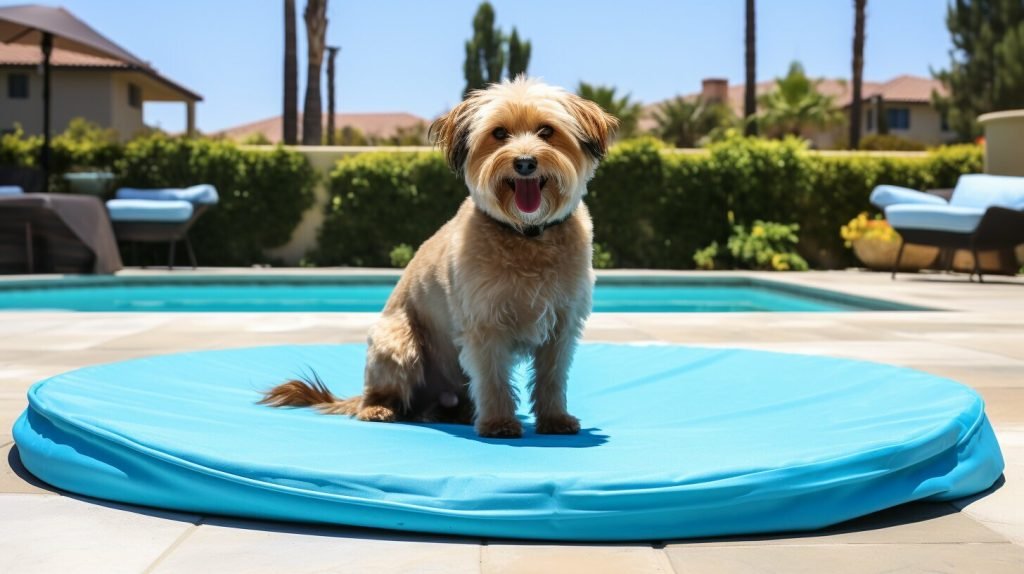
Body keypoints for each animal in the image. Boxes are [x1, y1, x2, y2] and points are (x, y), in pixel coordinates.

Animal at [262, 77, 614, 437]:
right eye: (499, 133)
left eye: (546, 131)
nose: (525, 162)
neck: (526, 234)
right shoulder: (484, 325)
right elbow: (493, 380)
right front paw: (499, 423)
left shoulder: (562, 326)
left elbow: (552, 378)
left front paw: (555, 419)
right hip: (398, 343)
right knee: (379, 395)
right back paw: (379, 409)